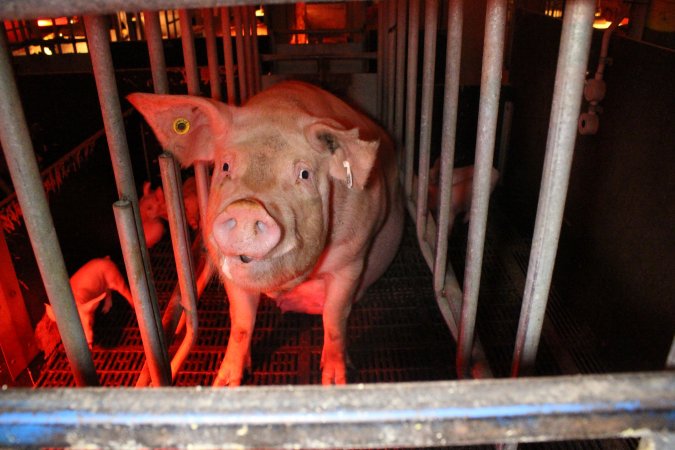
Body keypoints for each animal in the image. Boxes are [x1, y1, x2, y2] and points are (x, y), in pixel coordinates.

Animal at [131, 80, 406, 384]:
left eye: (304, 174)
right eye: (225, 166)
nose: (247, 209)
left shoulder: (353, 258)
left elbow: (334, 318)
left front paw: (335, 380)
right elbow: (241, 323)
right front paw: (224, 382)